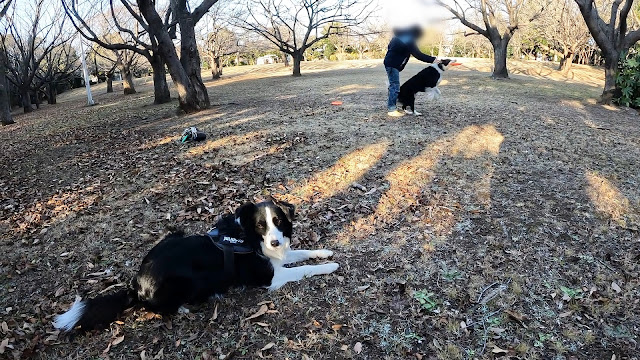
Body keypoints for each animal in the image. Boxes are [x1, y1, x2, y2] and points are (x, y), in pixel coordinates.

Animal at [52, 200, 338, 332]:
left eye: (278, 221)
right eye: (261, 225)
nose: (275, 241)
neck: (247, 237)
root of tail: (137, 285)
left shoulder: (277, 259)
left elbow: (301, 253)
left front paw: (324, 251)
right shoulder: (270, 277)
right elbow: (304, 268)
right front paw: (330, 266)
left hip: (173, 234)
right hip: (188, 281)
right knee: (160, 309)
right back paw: (185, 307)